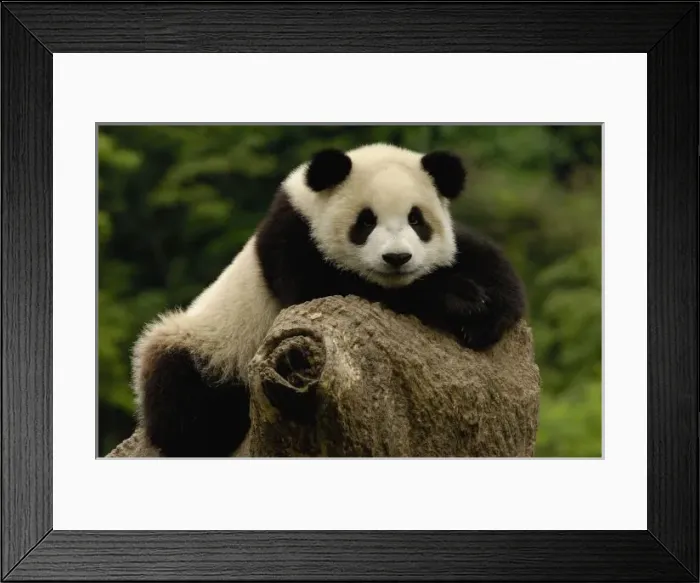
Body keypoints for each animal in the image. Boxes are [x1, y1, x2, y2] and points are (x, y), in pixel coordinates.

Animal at [131, 142, 526, 457]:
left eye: (417, 220)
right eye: (365, 221)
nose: (397, 258)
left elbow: (480, 255)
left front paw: (488, 310)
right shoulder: (293, 240)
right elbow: (329, 288)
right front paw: (459, 299)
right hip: (210, 342)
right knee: (184, 397)